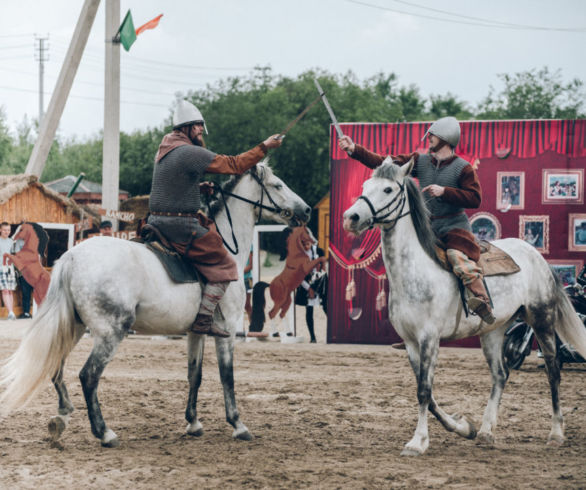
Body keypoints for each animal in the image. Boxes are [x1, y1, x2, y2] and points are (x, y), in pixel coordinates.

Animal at [1, 162, 310, 448]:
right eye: (278, 185)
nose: (306, 210)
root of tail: (72, 257)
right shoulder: (228, 331)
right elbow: (227, 376)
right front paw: (237, 424)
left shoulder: (196, 332)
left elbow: (194, 375)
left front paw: (193, 422)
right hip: (111, 333)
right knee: (89, 376)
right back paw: (104, 433)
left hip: (74, 328)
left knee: (56, 366)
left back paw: (62, 415)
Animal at [340, 159, 584, 458]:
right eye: (365, 185)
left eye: (387, 189)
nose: (351, 217)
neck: (414, 273)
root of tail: (537, 256)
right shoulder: (411, 343)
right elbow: (428, 393)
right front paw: (463, 427)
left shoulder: (429, 339)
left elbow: (424, 391)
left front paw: (417, 442)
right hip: (493, 332)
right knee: (500, 374)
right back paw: (487, 431)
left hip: (541, 320)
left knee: (553, 369)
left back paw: (556, 433)